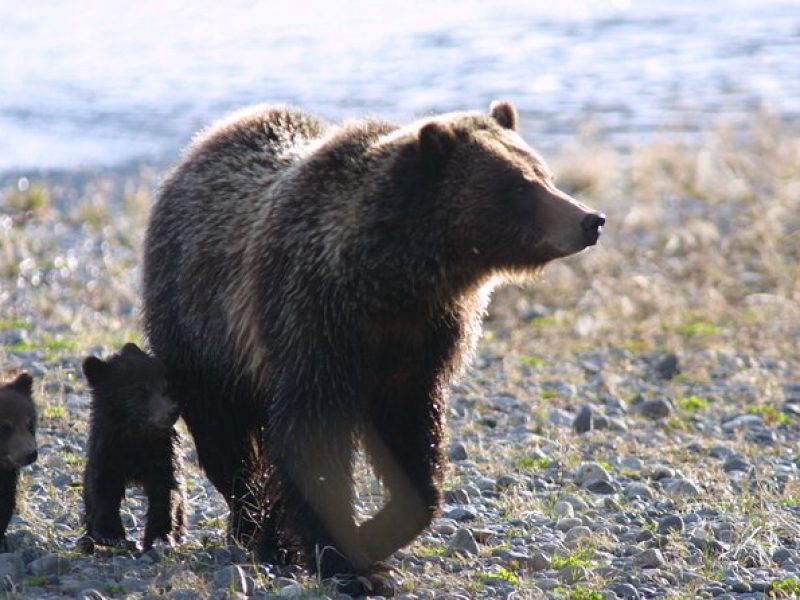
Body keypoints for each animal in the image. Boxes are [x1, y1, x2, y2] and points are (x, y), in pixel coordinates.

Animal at [81, 344, 188, 552]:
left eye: (166, 387)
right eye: (141, 390)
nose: (172, 411)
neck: (136, 433)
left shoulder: (161, 453)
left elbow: (165, 490)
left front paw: (160, 537)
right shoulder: (108, 449)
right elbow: (103, 487)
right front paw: (110, 535)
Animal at [145, 101, 608, 592]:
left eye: (544, 172)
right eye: (518, 185)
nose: (590, 219)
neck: (393, 280)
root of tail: (199, 148)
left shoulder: (421, 341)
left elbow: (414, 440)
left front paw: (374, 533)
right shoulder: (315, 321)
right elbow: (314, 443)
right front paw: (349, 562)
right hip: (202, 331)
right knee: (225, 438)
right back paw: (255, 529)